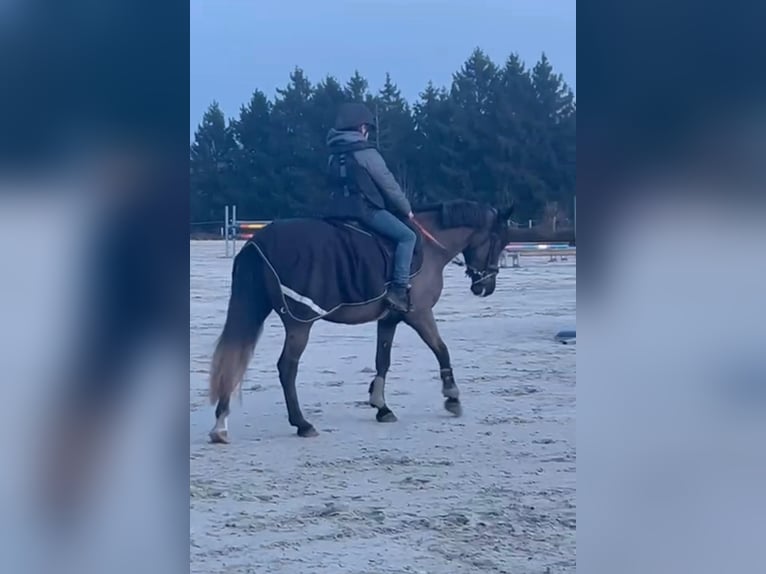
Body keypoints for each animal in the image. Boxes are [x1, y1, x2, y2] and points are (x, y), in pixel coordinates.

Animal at [207, 199, 572, 442]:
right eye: (499, 240)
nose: (486, 287)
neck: (429, 246)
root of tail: (258, 243)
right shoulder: (419, 315)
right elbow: (442, 349)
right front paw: (452, 396)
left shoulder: (391, 319)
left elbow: (383, 359)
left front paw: (381, 406)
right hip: (300, 322)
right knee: (286, 368)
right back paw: (302, 423)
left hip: (258, 309)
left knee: (234, 361)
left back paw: (221, 424)